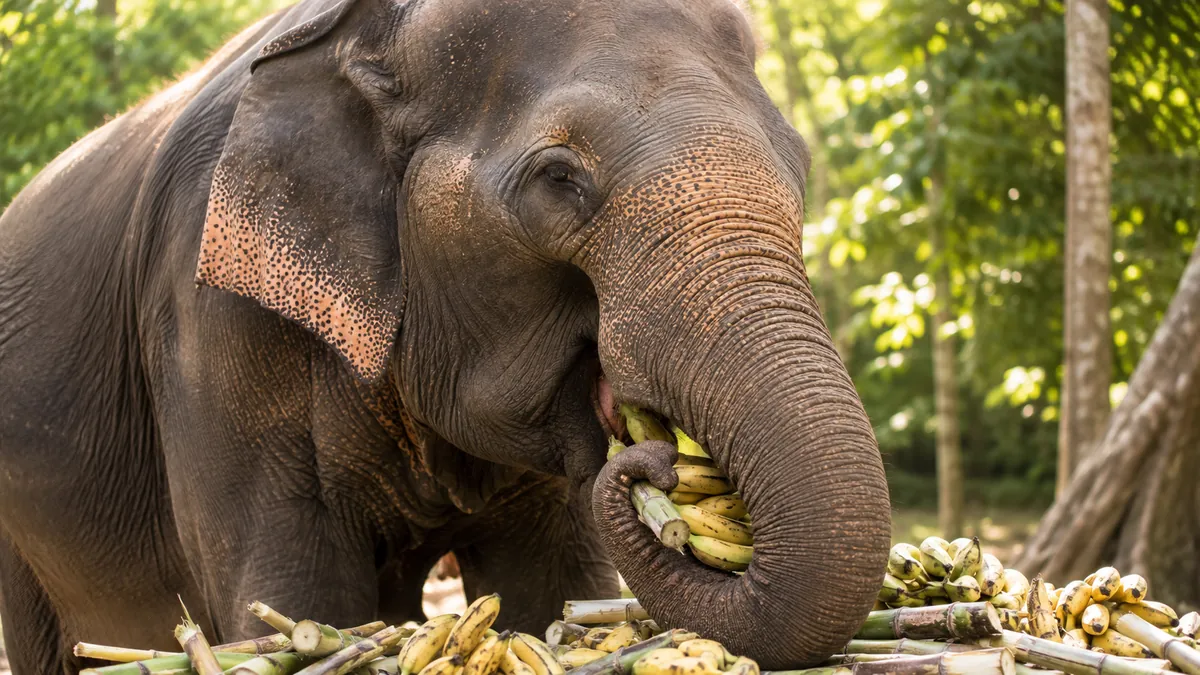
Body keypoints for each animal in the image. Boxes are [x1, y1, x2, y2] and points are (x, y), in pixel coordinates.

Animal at [0, 0, 892, 672]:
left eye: (799, 167)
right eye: (559, 180)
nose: (652, 458)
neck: (372, 31)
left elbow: (552, 582)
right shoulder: (210, 320)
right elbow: (295, 592)